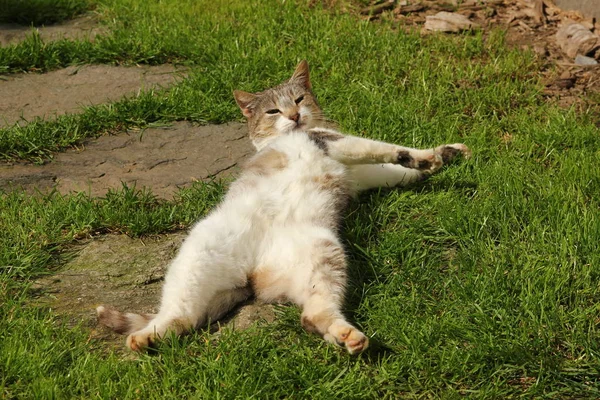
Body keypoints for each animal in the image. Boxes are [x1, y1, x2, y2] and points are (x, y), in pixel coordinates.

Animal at [96, 59, 472, 354]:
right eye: (273, 110)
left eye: (299, 98)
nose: (294, 115)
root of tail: (253, 278)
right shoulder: (335, 142)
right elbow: (385, 148)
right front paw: (427, 157)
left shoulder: (359, 174)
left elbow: (396, 171)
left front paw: (447, 154)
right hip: (197, 258)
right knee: (177, 314)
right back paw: (144, 338)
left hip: (323, 252)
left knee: (312, 314)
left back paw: (346, 336)